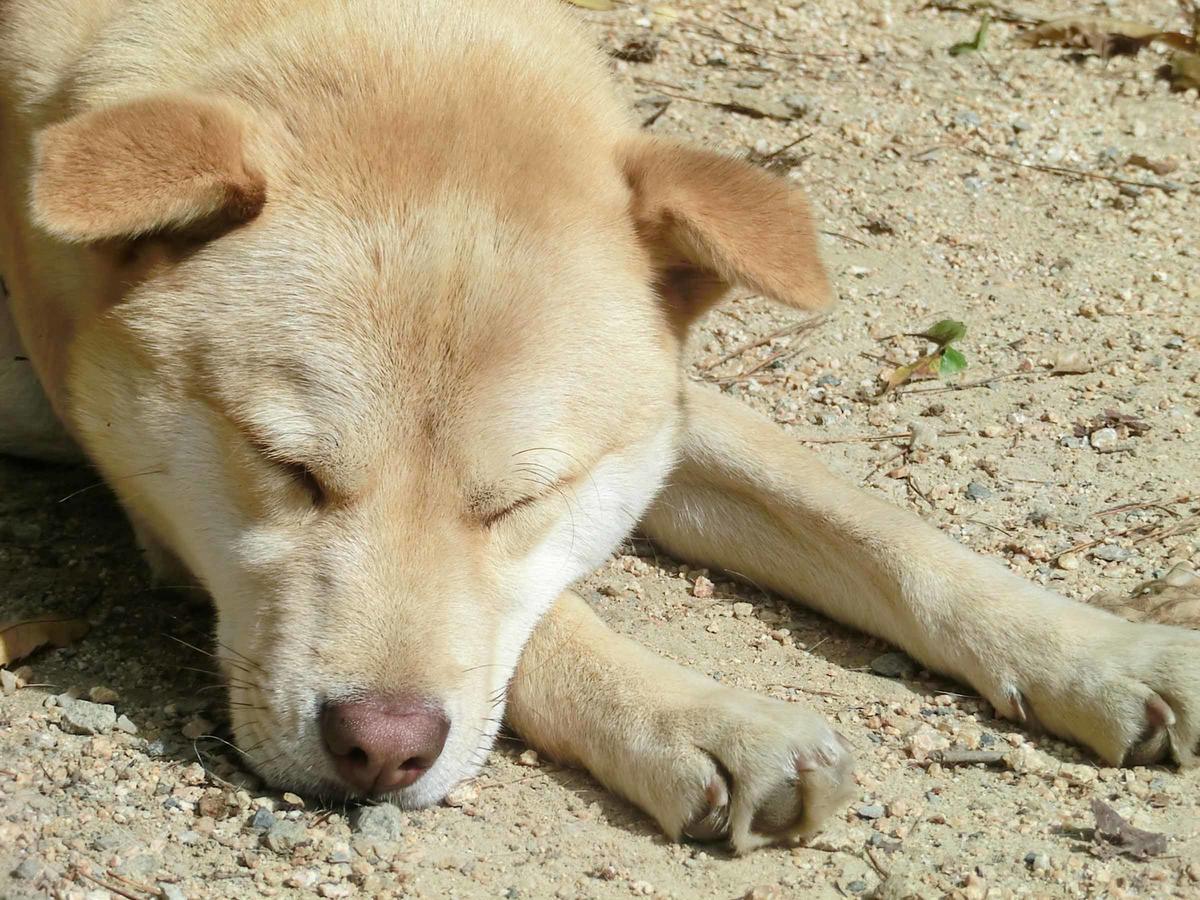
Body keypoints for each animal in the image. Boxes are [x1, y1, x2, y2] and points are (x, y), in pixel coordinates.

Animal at [0, 1, 1195, 859]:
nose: (377, 754)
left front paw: (1093, 650)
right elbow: (546, 622)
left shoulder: (660, 412)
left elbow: (872, 526)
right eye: (286, 468)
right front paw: (699, 718)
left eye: (521, 500)